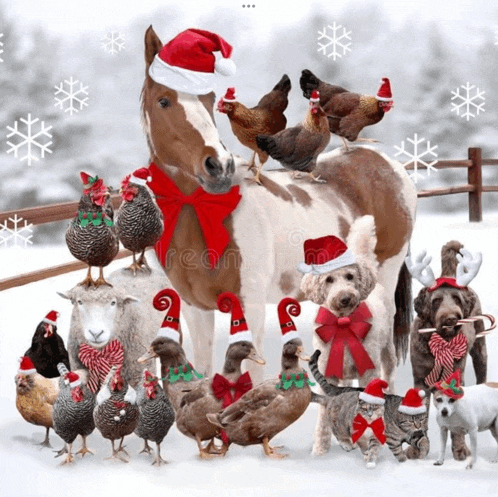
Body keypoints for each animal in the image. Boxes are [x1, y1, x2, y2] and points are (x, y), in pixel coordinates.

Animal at [139, 25, 416, 386]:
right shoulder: (194, 308)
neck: (204, 213)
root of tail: (391, 167)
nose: (218, 166)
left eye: (209, 99)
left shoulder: (250, 304)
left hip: (384, 279)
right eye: (163, 100)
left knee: (385, 361)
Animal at [410, 238, 488, 460]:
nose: (452, 319)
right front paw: (418, 448)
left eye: (457, 300)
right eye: (436, 301)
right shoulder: (420, 380)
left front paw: (460, 448)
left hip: (480, 348)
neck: (442, 343)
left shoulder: (455, 378)